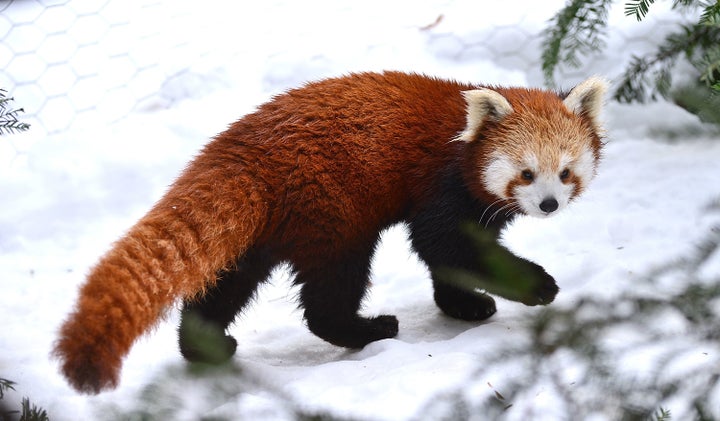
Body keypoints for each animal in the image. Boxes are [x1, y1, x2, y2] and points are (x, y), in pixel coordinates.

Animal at [50, 69, 604, 394]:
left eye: (565, 172)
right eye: (526, 173)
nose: (549, 205)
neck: (462, 139)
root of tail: (239, 149)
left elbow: (448, 260)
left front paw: (463, 305)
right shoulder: (438, 185)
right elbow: (446, 247)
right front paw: (536, 285)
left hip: (258, 230)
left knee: (225, 282)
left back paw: (206, 345)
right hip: (333, 209)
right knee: (330, 290)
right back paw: (365, 329)